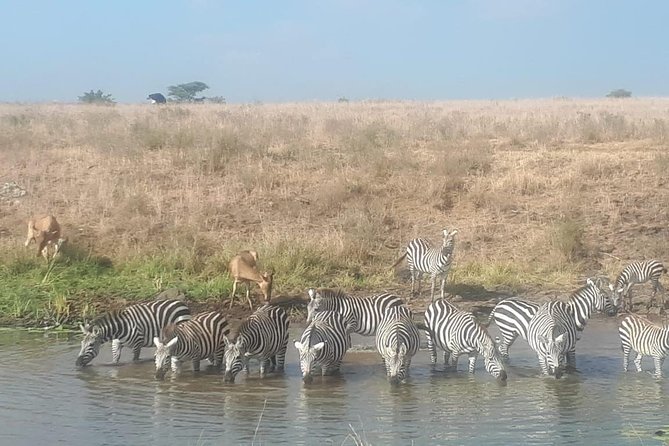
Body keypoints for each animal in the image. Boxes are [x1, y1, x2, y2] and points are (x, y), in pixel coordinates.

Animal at [486, 278, 616, 362]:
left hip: (512, 332)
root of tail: (500, 303)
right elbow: (572, 363)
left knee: (503, 348)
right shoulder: (571, 345)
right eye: (607, 297)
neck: (574, 314)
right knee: (503, 348)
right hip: (508, 330)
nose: (615, 312)